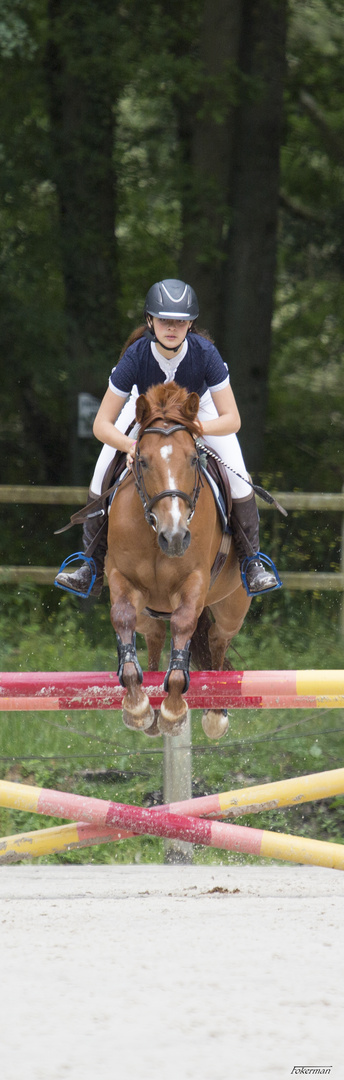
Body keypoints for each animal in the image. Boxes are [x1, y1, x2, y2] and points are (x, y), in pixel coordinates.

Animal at [106, 378, 252, 734]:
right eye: (142, 461)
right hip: (150, 609)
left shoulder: (194, 581)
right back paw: (152, 703)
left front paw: (173, 709)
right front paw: (138, 705)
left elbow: (184, 624)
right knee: (155, 633)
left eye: (192, 460)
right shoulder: (121, 577)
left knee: (216, 637)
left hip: (232, 606)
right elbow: (123, 617)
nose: (174, 537)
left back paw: (215, 712)